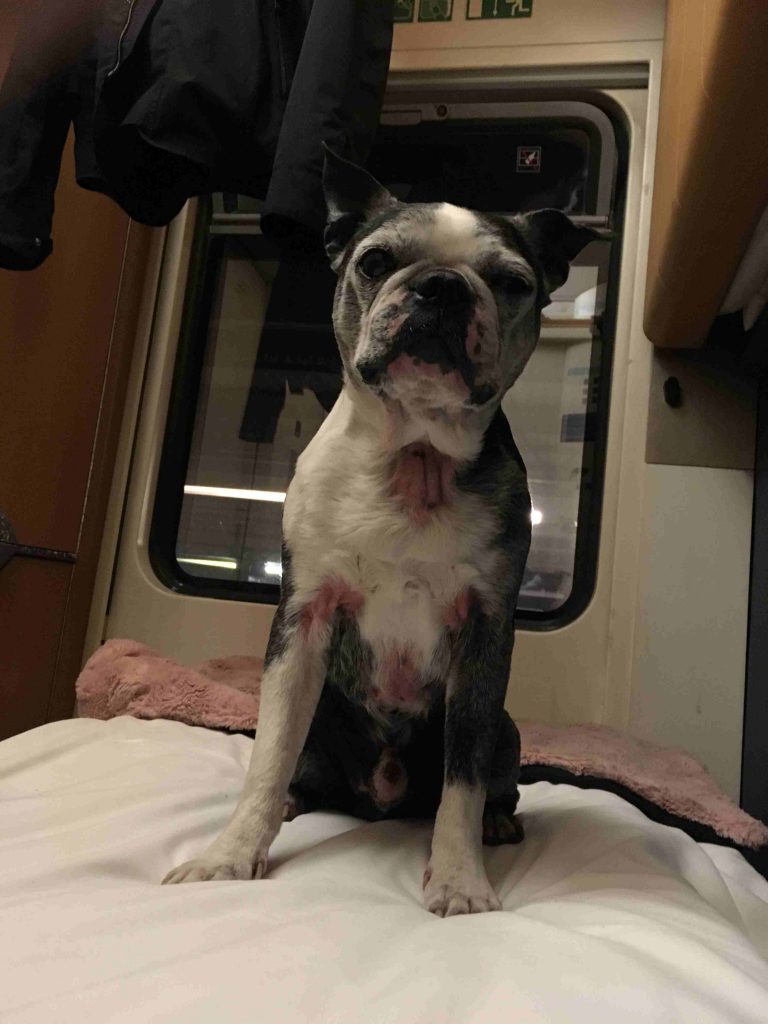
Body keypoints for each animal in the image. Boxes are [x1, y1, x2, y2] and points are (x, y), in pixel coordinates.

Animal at [163, 146, 595, 916]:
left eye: (513, 282)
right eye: (375, 261)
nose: (442, 287)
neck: (412, 458)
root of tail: (380, 797)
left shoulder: (484, 635)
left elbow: (462, 778)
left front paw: (459, 878)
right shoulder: (302, 622)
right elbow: (267, 760)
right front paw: (229, 854)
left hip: (507, 727)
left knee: (487, 777)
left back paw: (498, 819)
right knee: (295, 763)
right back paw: (296, 802)